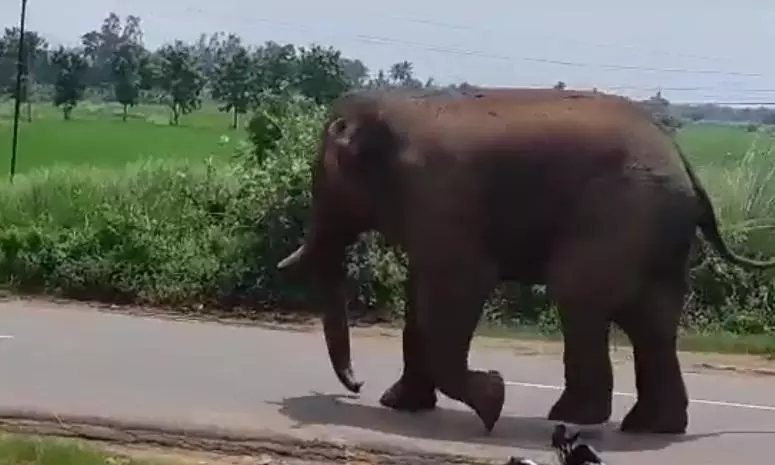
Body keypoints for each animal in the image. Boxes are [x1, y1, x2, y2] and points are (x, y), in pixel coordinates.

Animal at [275, 87, 775, 435]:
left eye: (323, 181)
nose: (356, 387)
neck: (398, 110)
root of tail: (685, 163)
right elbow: (422, 292)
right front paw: (397, 404)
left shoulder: (440, 194)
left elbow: (460, 283)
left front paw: (492, 401)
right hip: (657, 227)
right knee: (650, 318)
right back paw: (649, 427)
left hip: (625, 211)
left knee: (581, 294)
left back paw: (576, 416)